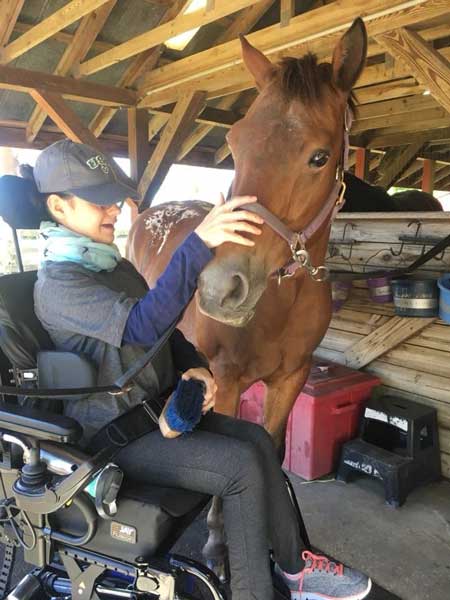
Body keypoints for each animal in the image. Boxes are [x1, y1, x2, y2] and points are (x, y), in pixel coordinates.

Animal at [127, 18, 370, 452]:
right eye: (234, 142)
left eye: (320, 157)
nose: (219, 288)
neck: (283, 300)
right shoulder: (225, 383)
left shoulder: (291, 378)